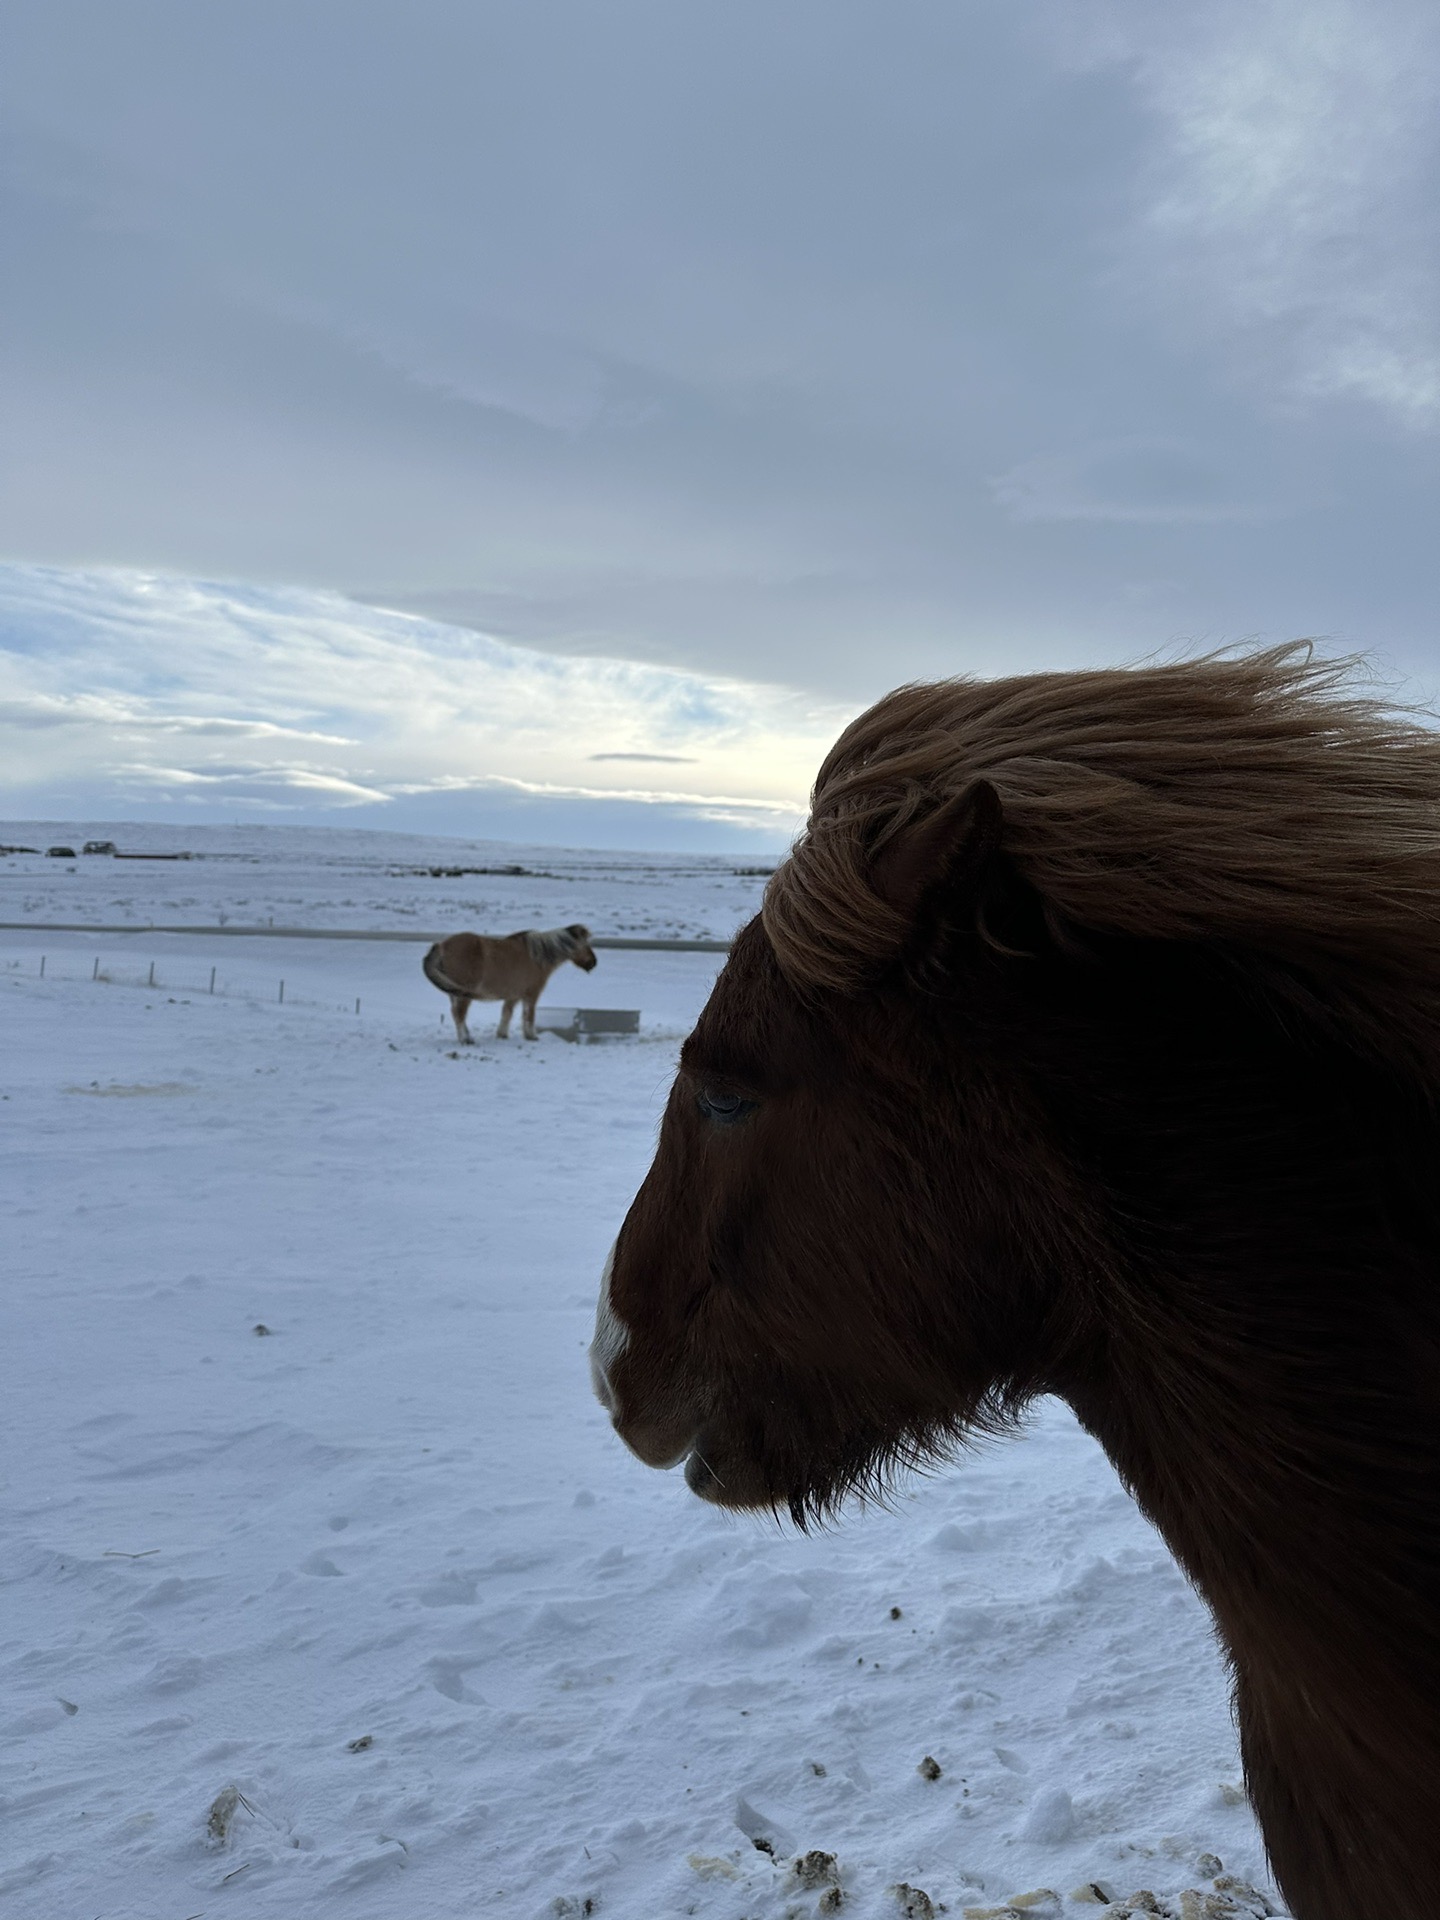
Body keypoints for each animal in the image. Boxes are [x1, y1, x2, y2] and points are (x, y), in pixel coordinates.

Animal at [422, 925, 599, 1044]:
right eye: (585, 944)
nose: (593, 962)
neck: (536, 956)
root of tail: (441, 945)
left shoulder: (513, 995)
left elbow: (506, 1013)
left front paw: (502, 1034)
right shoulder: (532, 994)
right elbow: (529, 1015)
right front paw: (531, 1036)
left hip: (455, 993)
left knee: (456, 1014)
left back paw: (465, 1037)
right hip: (462, 995)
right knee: (459, 1014)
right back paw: (466, 1040)